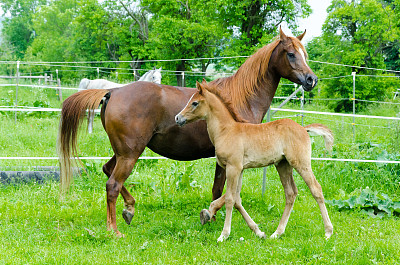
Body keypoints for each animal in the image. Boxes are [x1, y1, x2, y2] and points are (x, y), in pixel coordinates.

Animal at [175, 81, 334, 241]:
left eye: (195, 103)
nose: (177, 118)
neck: (226, 131)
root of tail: (303, 128)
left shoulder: (233, 168)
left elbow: (230, 199)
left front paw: (224, 234)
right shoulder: (240, 169)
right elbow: (237, 199)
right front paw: (258, 231)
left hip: (301, 163)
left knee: (316, 189)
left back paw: (328, 232)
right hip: (283, 165)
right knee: (290, 193)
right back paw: (277, 233)